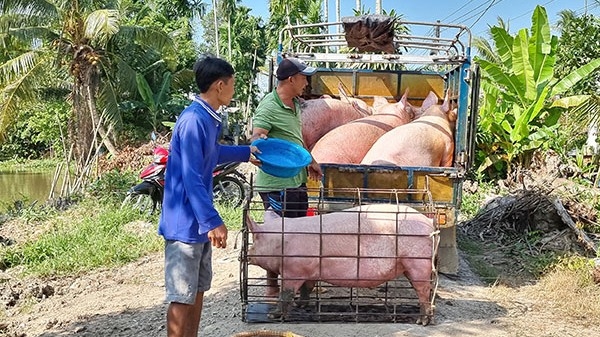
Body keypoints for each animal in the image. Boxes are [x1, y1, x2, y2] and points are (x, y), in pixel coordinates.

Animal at [239, 186, 440, 322]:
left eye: (256, 238)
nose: (244, 255)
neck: (280, 241)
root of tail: (430, 223)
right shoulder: (310, 269)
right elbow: (307, 287)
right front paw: (301, 305)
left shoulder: (293, 268)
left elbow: (286, 293)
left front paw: (274, 316)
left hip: (417, 261)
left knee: (423, 290)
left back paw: (422, 321)